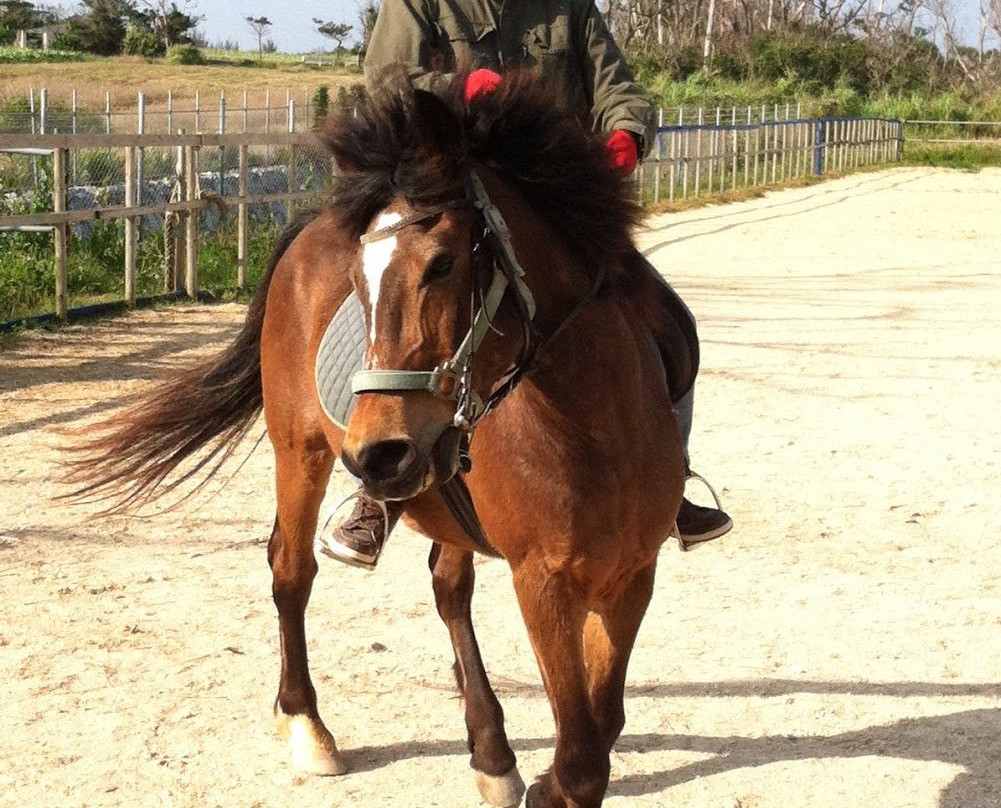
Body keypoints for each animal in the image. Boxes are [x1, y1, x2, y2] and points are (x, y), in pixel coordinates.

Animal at [66, 72, 688, 808]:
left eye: (443, 264)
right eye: (358, 283)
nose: (377, 453)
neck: (591, 426)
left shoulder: (632, 575)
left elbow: (602, 726)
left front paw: (531, 772)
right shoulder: (543, 583)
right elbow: (582, 757)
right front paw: (547, 783)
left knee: (448, 590)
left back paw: (490, 751)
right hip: (300, 451)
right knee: (290, 569)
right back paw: (306, 723)